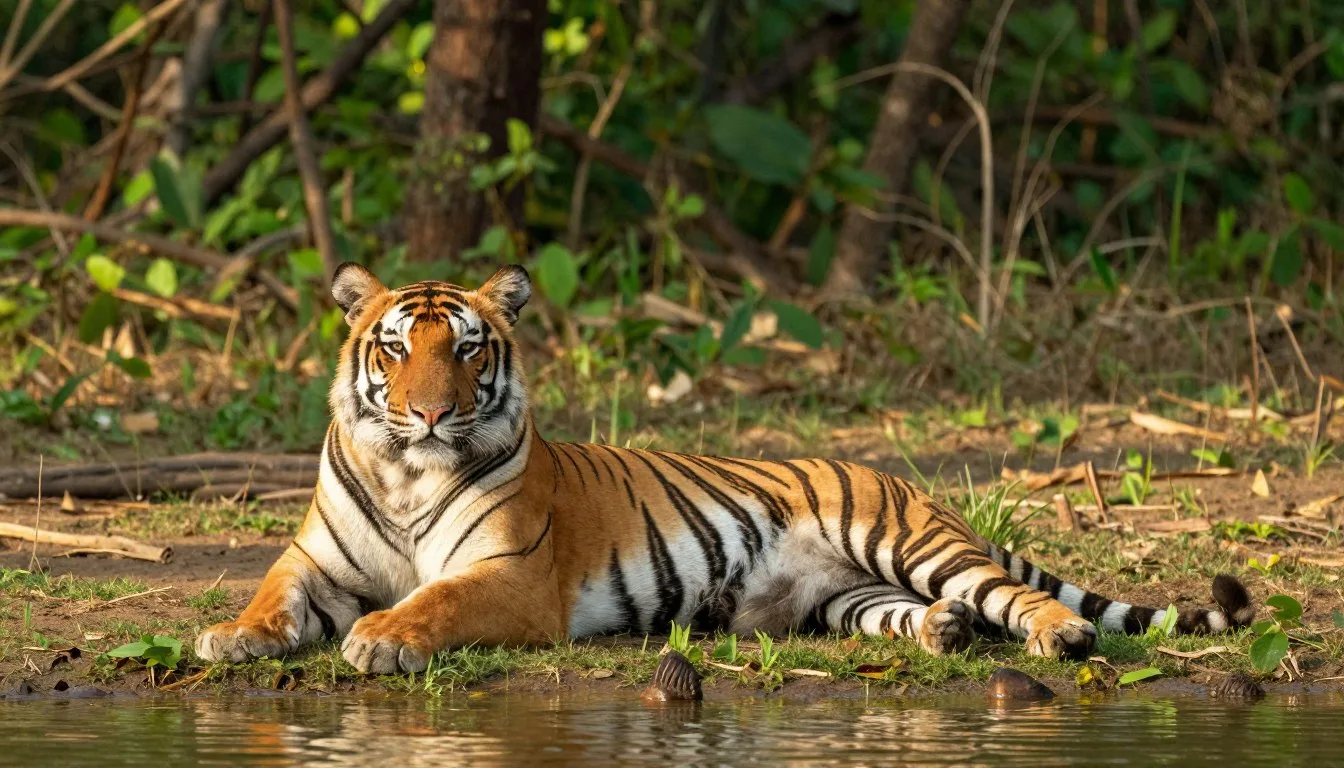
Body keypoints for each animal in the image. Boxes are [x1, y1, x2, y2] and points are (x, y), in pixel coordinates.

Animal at [196, 264, 1254, 674]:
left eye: (465, 349)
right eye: (393, 350)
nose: (428, 413)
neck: (406, 471)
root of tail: (902, 480)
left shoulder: (511, 576)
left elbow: (434, 600)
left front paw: (380, 639)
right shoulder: (315, 562)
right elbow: (270, 595)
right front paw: (229, 636)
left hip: (906, 540)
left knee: (1014, 594)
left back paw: (1059, 637)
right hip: (848, 597)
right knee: (925, 613)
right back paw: (946, 634)